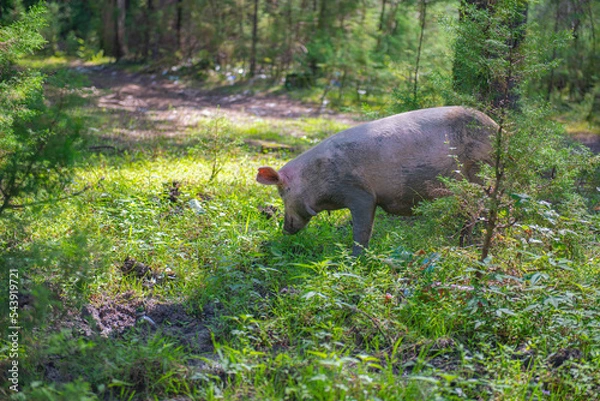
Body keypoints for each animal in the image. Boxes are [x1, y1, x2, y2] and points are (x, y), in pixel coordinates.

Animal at [258, 105, 496, 253]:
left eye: (282, 192)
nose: (285, 229)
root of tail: (497, 127)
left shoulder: (361, 193)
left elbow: (362, 230)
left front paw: (354, 259)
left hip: (479, 171)